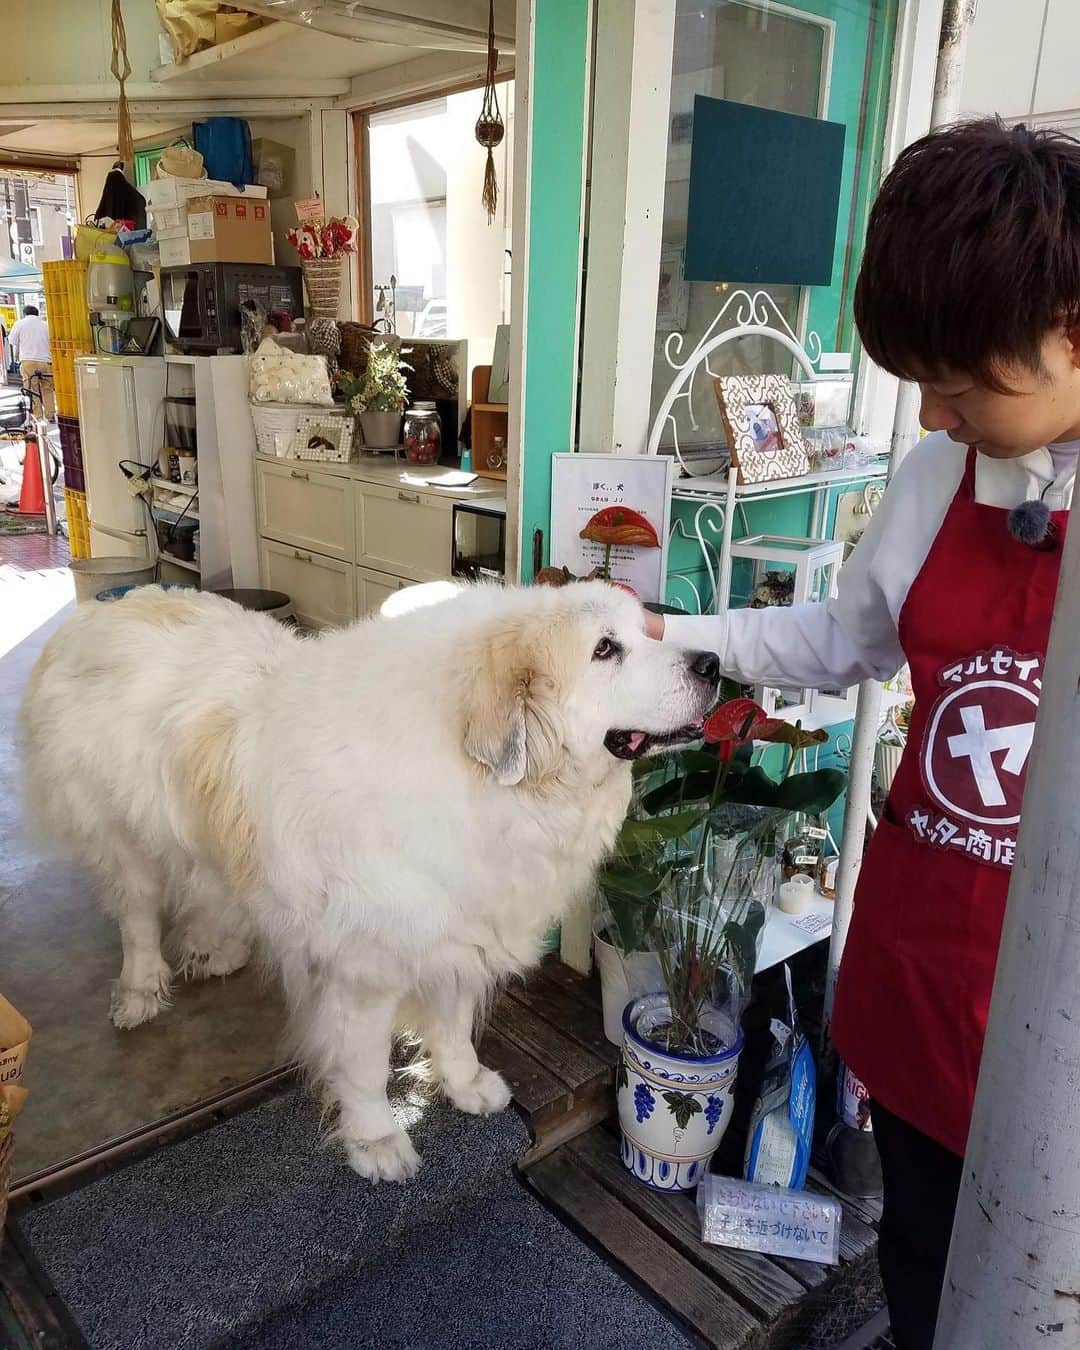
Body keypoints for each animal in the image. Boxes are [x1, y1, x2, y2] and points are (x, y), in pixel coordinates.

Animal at [21, 585, 718, 1177]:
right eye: (605, 649)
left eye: (646, 631)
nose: (711, 661)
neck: (489, 789)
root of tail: (102, 610)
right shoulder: (366, 969)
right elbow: (363, 1065)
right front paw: (377, 1139)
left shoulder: (457, 933)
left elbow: (453, 1022)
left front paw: (465, 1083)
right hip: (123, 838)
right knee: (138, 915)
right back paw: (141, 989)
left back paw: (217, 949)